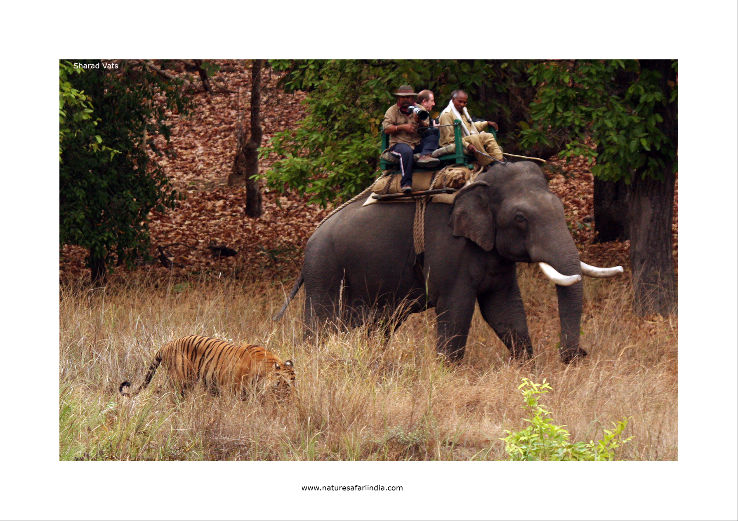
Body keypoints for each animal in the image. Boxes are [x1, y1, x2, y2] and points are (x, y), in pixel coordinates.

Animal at [275, 161, 622, 363]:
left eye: (561, 209)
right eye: (520, 219)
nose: (576, 355)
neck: (478, 182)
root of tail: (310, 240)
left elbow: (504, 308)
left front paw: (526, 369)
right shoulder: (449, 250)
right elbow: (457, 308)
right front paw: (448, 370)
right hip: (324, 272)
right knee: (321, 324)